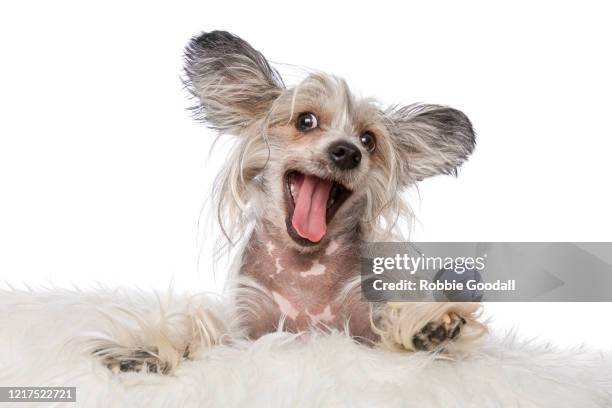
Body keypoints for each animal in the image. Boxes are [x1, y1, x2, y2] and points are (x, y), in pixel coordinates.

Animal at [87, 31, 488, 374]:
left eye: (369, 140)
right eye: (305, 121)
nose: (348, 152)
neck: (305, 269)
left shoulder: (363, 326)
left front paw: (427, 330)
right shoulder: (248, 329)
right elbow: (207, 337)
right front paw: (151, 350)